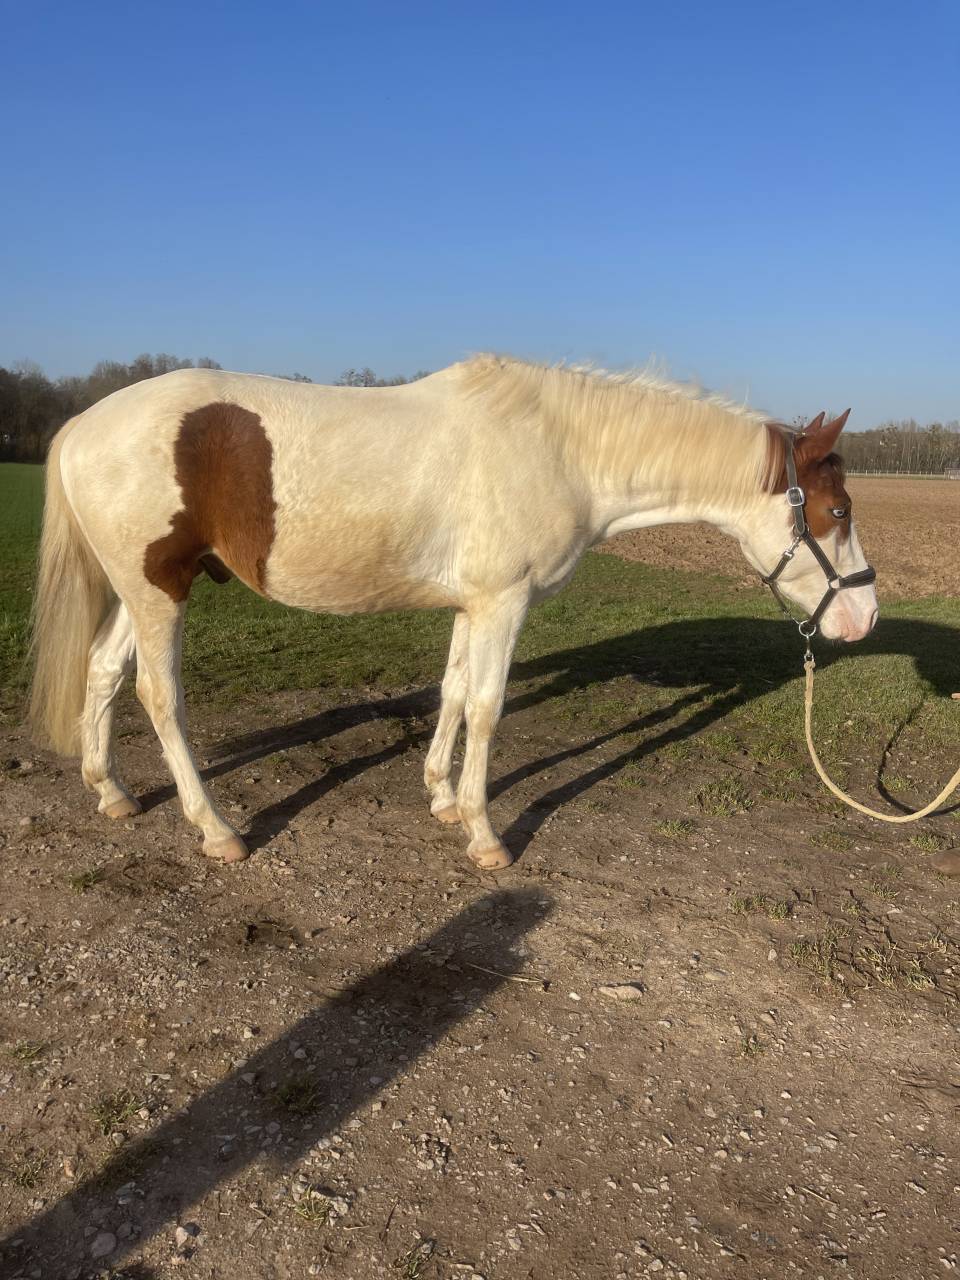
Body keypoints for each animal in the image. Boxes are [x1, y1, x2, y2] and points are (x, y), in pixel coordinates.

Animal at [28, 355, 878, 869]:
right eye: (836, 509)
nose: (864, 618)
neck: (558, 450)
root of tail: (82, 424)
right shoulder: (505, 603)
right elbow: (490, 707)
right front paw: (483, 832)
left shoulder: (476, 604)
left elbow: (454, 695)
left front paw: (438, 795)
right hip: (157, 593)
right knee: (158, 697)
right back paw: (215, 828)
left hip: (140, 592)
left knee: (103, 673)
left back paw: (112, 792)